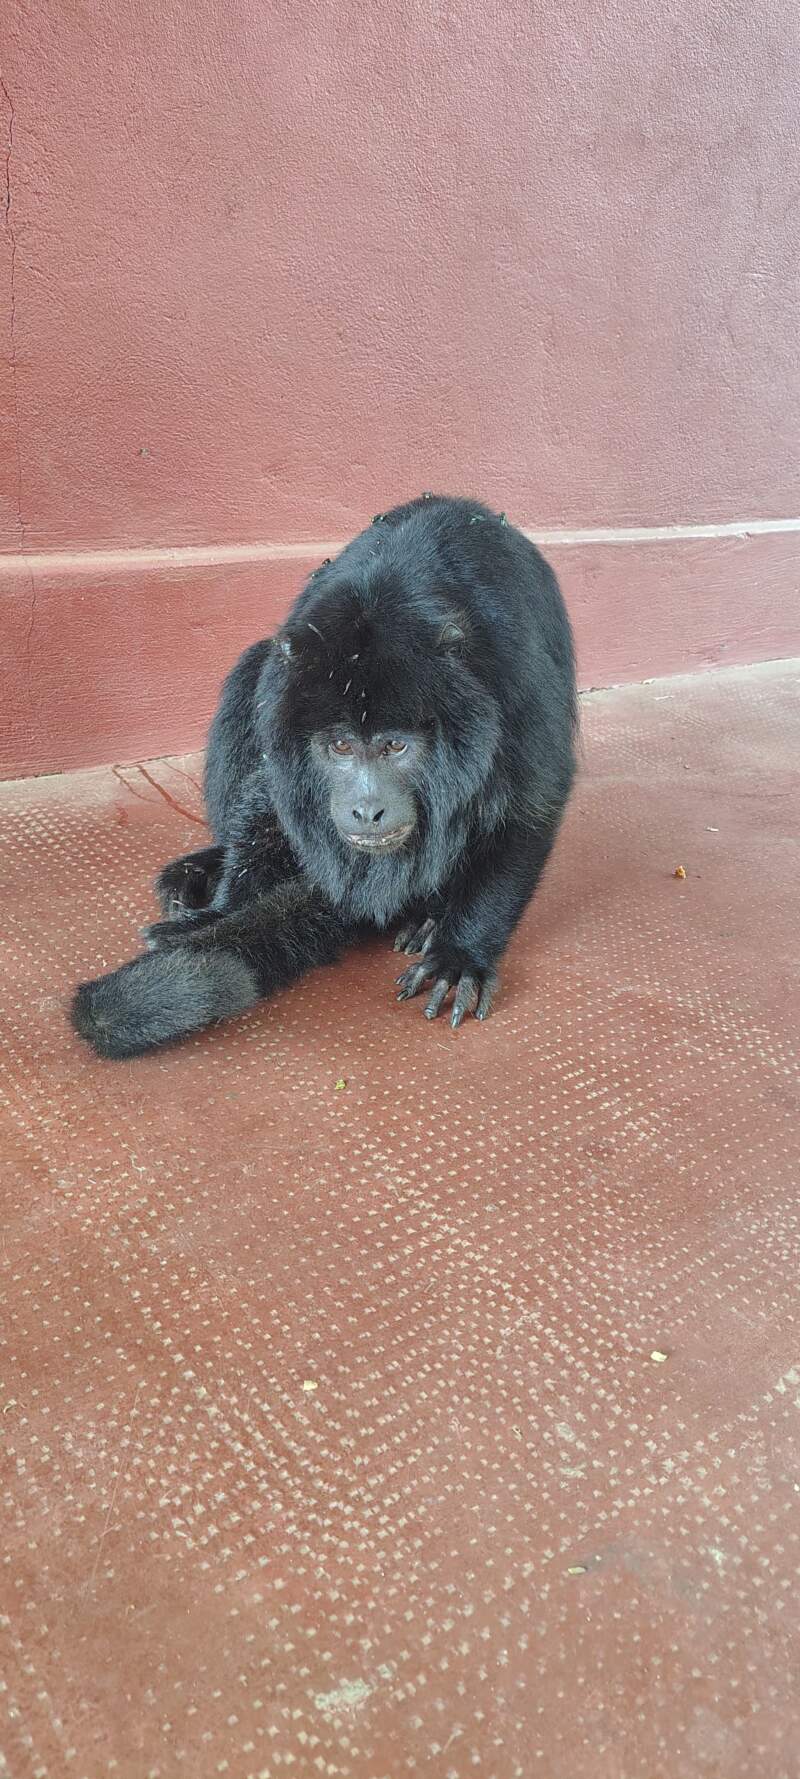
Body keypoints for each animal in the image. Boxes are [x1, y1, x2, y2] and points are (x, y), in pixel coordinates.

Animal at [70, 494, 577, 1059]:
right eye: (340, 746)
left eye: (395, 745)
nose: (367, 808)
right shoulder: (287, 689)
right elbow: (270, 787)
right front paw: (221, 916)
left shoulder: (514, 685)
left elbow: (529, 806)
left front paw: (463, 953)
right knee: (249, 668)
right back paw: (204, 867)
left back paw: (425, 916)